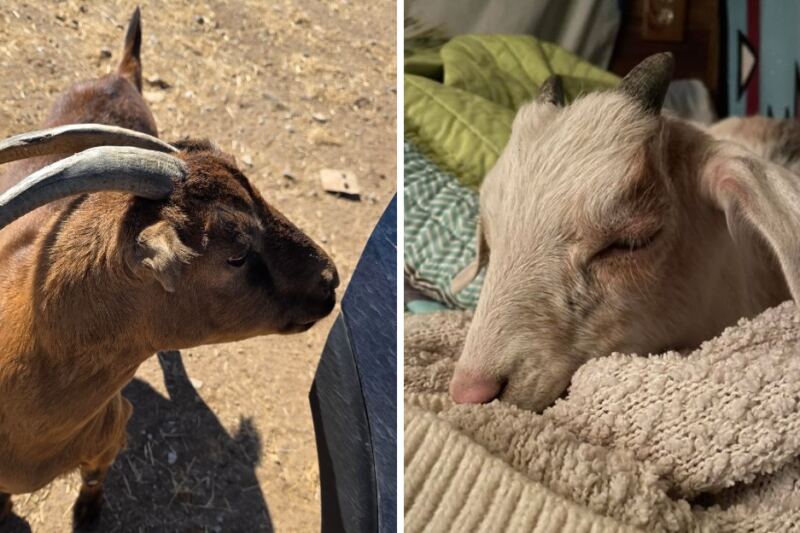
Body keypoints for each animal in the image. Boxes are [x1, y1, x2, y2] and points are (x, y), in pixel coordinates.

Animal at [0, 8, 338, 529]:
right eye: (235, 253)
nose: (330, 280)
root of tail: (119, 76)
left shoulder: (110, 434)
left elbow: (94, 478)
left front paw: (89, 515)